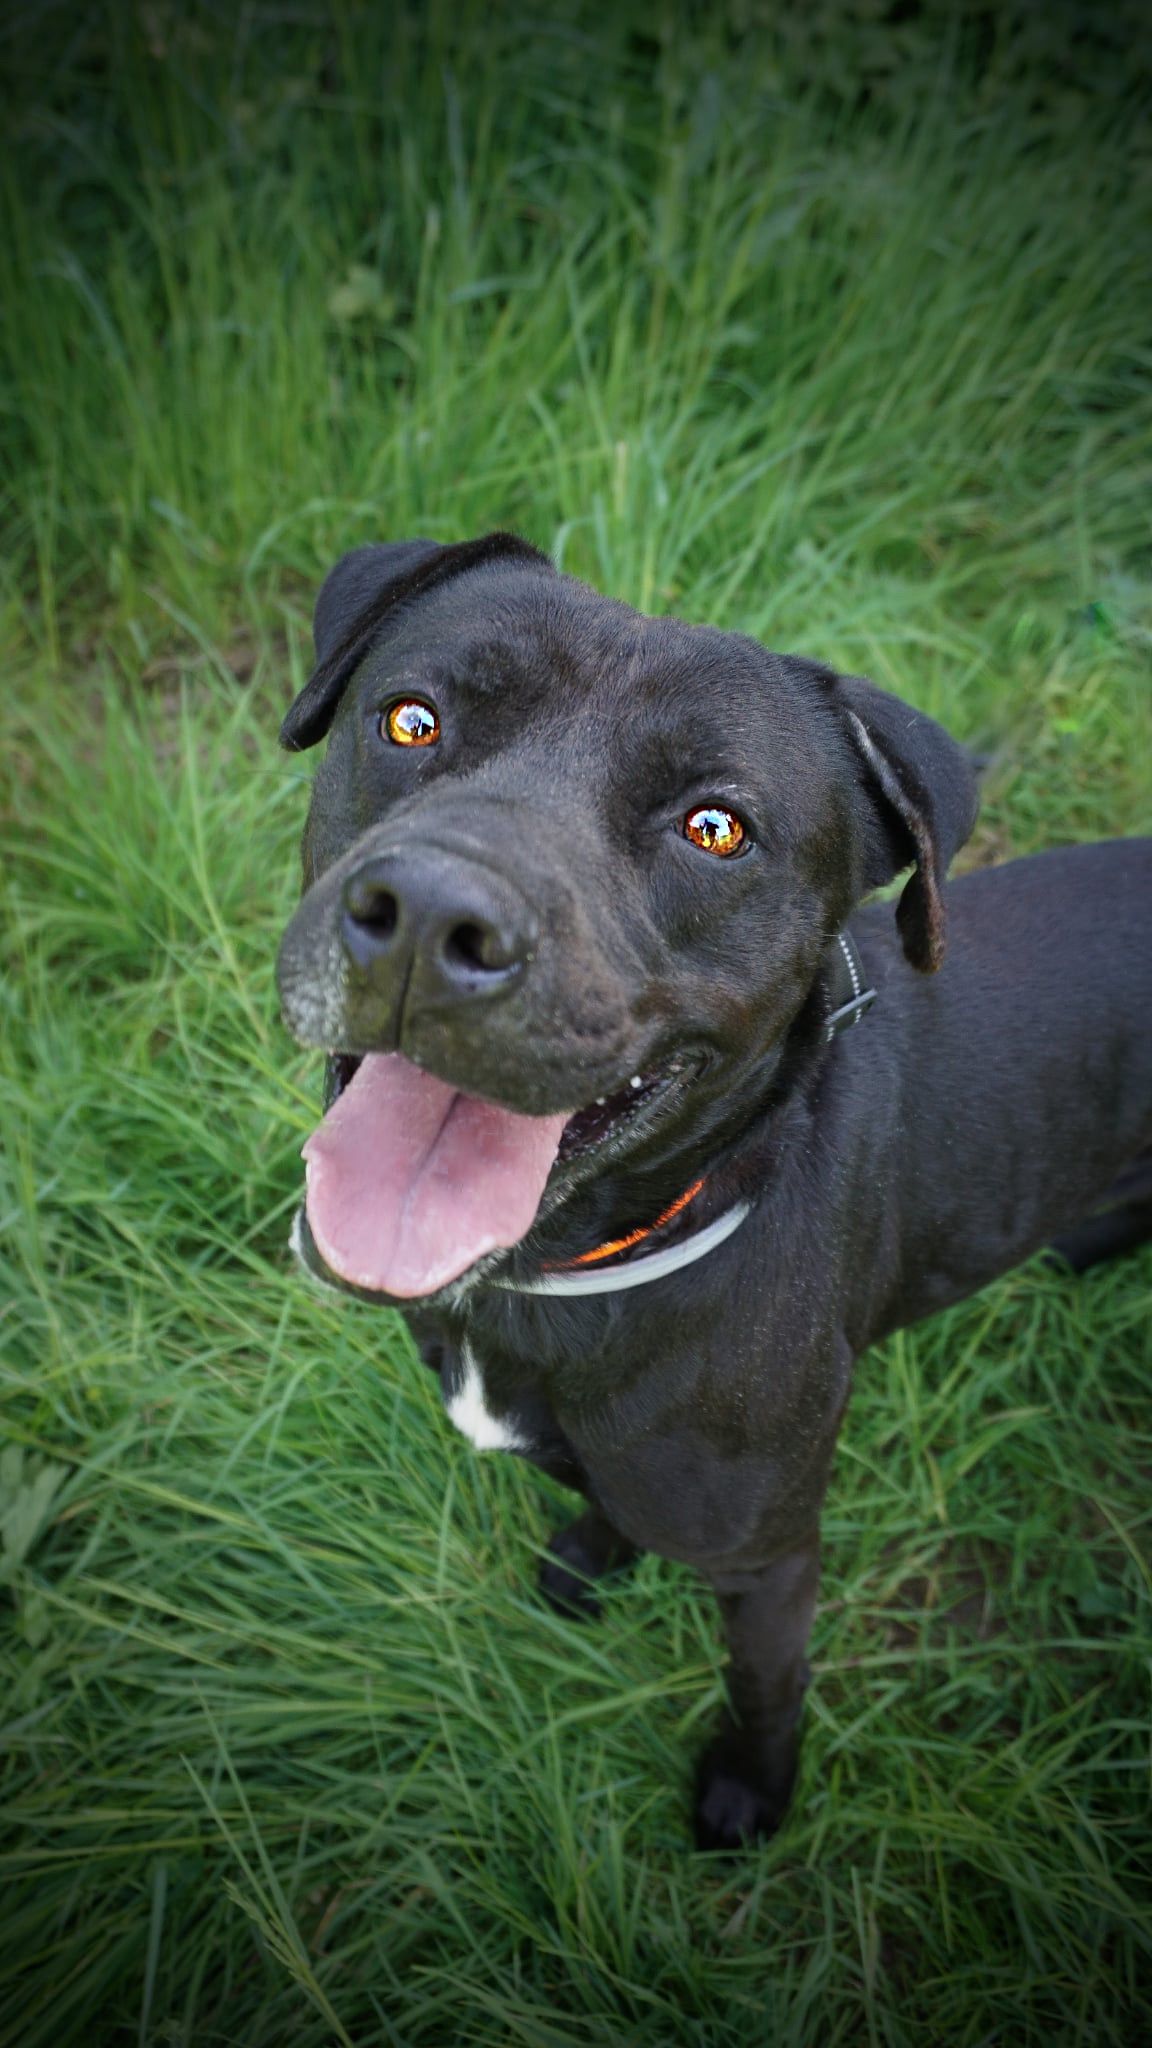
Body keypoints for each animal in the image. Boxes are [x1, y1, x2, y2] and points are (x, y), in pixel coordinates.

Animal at [276, 531, 1152, 1850]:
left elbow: (764, 1678)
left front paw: (749, 1787)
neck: (582, 1262)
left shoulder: (772, 1554)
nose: (430, 916)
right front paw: (589, 1556)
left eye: (716, 827)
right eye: (413, 720)